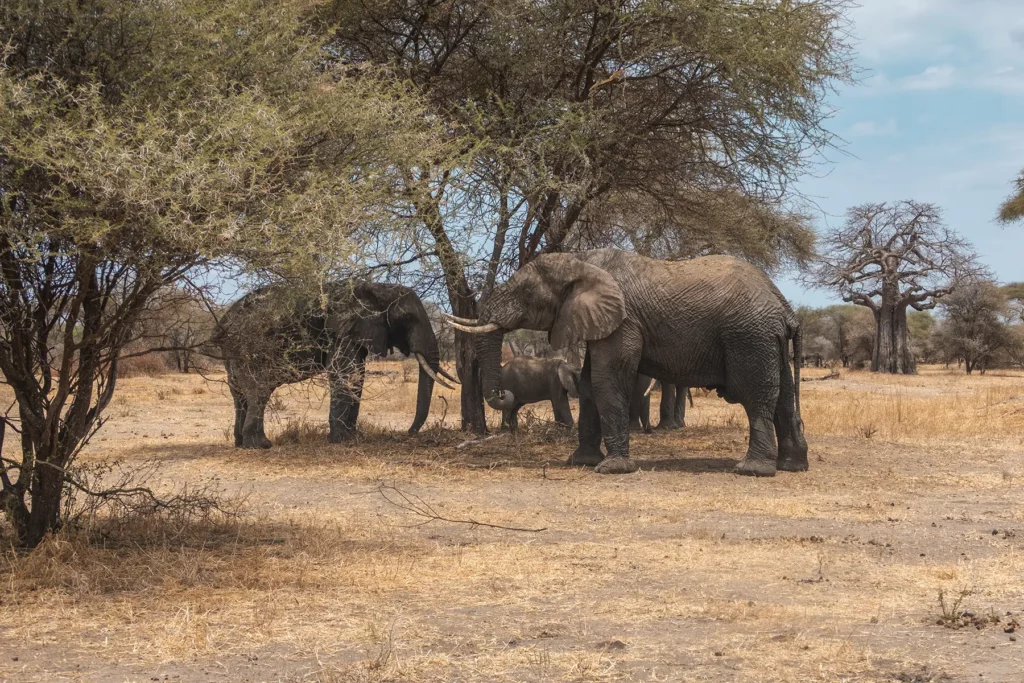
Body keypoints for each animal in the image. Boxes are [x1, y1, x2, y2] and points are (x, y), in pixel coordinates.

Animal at [215, 280, 456, 448]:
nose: (408, 432)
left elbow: (357, 375)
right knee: (260, 390)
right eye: (407, 319)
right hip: (248, 344)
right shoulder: (343, 331)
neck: (375, 287)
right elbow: (344, 372)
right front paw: (340, 440)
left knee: (239, 393)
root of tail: (223, 323)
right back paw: (260, 445)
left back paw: (240, 443)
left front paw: (352, 437)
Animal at [446, 249, 807, 476]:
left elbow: (607, 381)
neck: (581, 261)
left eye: (525, 293)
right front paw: (580, 462)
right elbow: (589, 384)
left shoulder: (624, 322)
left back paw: (752, 471)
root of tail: (785, 308)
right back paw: (792, 467)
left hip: (749, 336)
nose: (503, 394)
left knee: (756, 395)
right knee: (785, 397)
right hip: (768, 340)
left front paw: (611, 469)